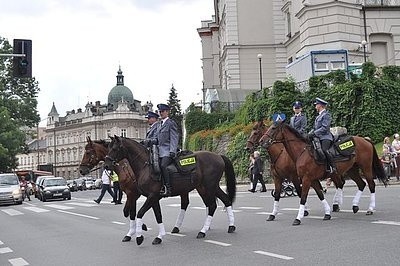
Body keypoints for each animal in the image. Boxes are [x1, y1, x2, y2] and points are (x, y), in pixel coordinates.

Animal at [104, 135, 238, 245]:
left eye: (114, 148)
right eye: (108, 147)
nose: (106, 165)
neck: (145, 166)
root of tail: (218, 156)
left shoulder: (150, 196)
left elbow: (139, 213)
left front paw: (139, 237)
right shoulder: (152, 198)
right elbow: (157, 215)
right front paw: (159, 237)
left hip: (209, 186)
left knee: (212, 205)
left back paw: (203, 231)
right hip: (208, 187)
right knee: (224, 200)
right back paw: (231, 226)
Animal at [260, 121, 388, 225]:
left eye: (273, 128)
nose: (262, 141)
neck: (302, 152)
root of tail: (365, 139)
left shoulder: (305, 179)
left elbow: (303, 197)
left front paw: (298, 218)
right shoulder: (310, 179)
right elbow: (320, 194)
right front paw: (327, 213)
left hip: (365, 167)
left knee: (371, 185)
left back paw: (370, 209)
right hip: (351, 170)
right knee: (361, 184)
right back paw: (354, 206)